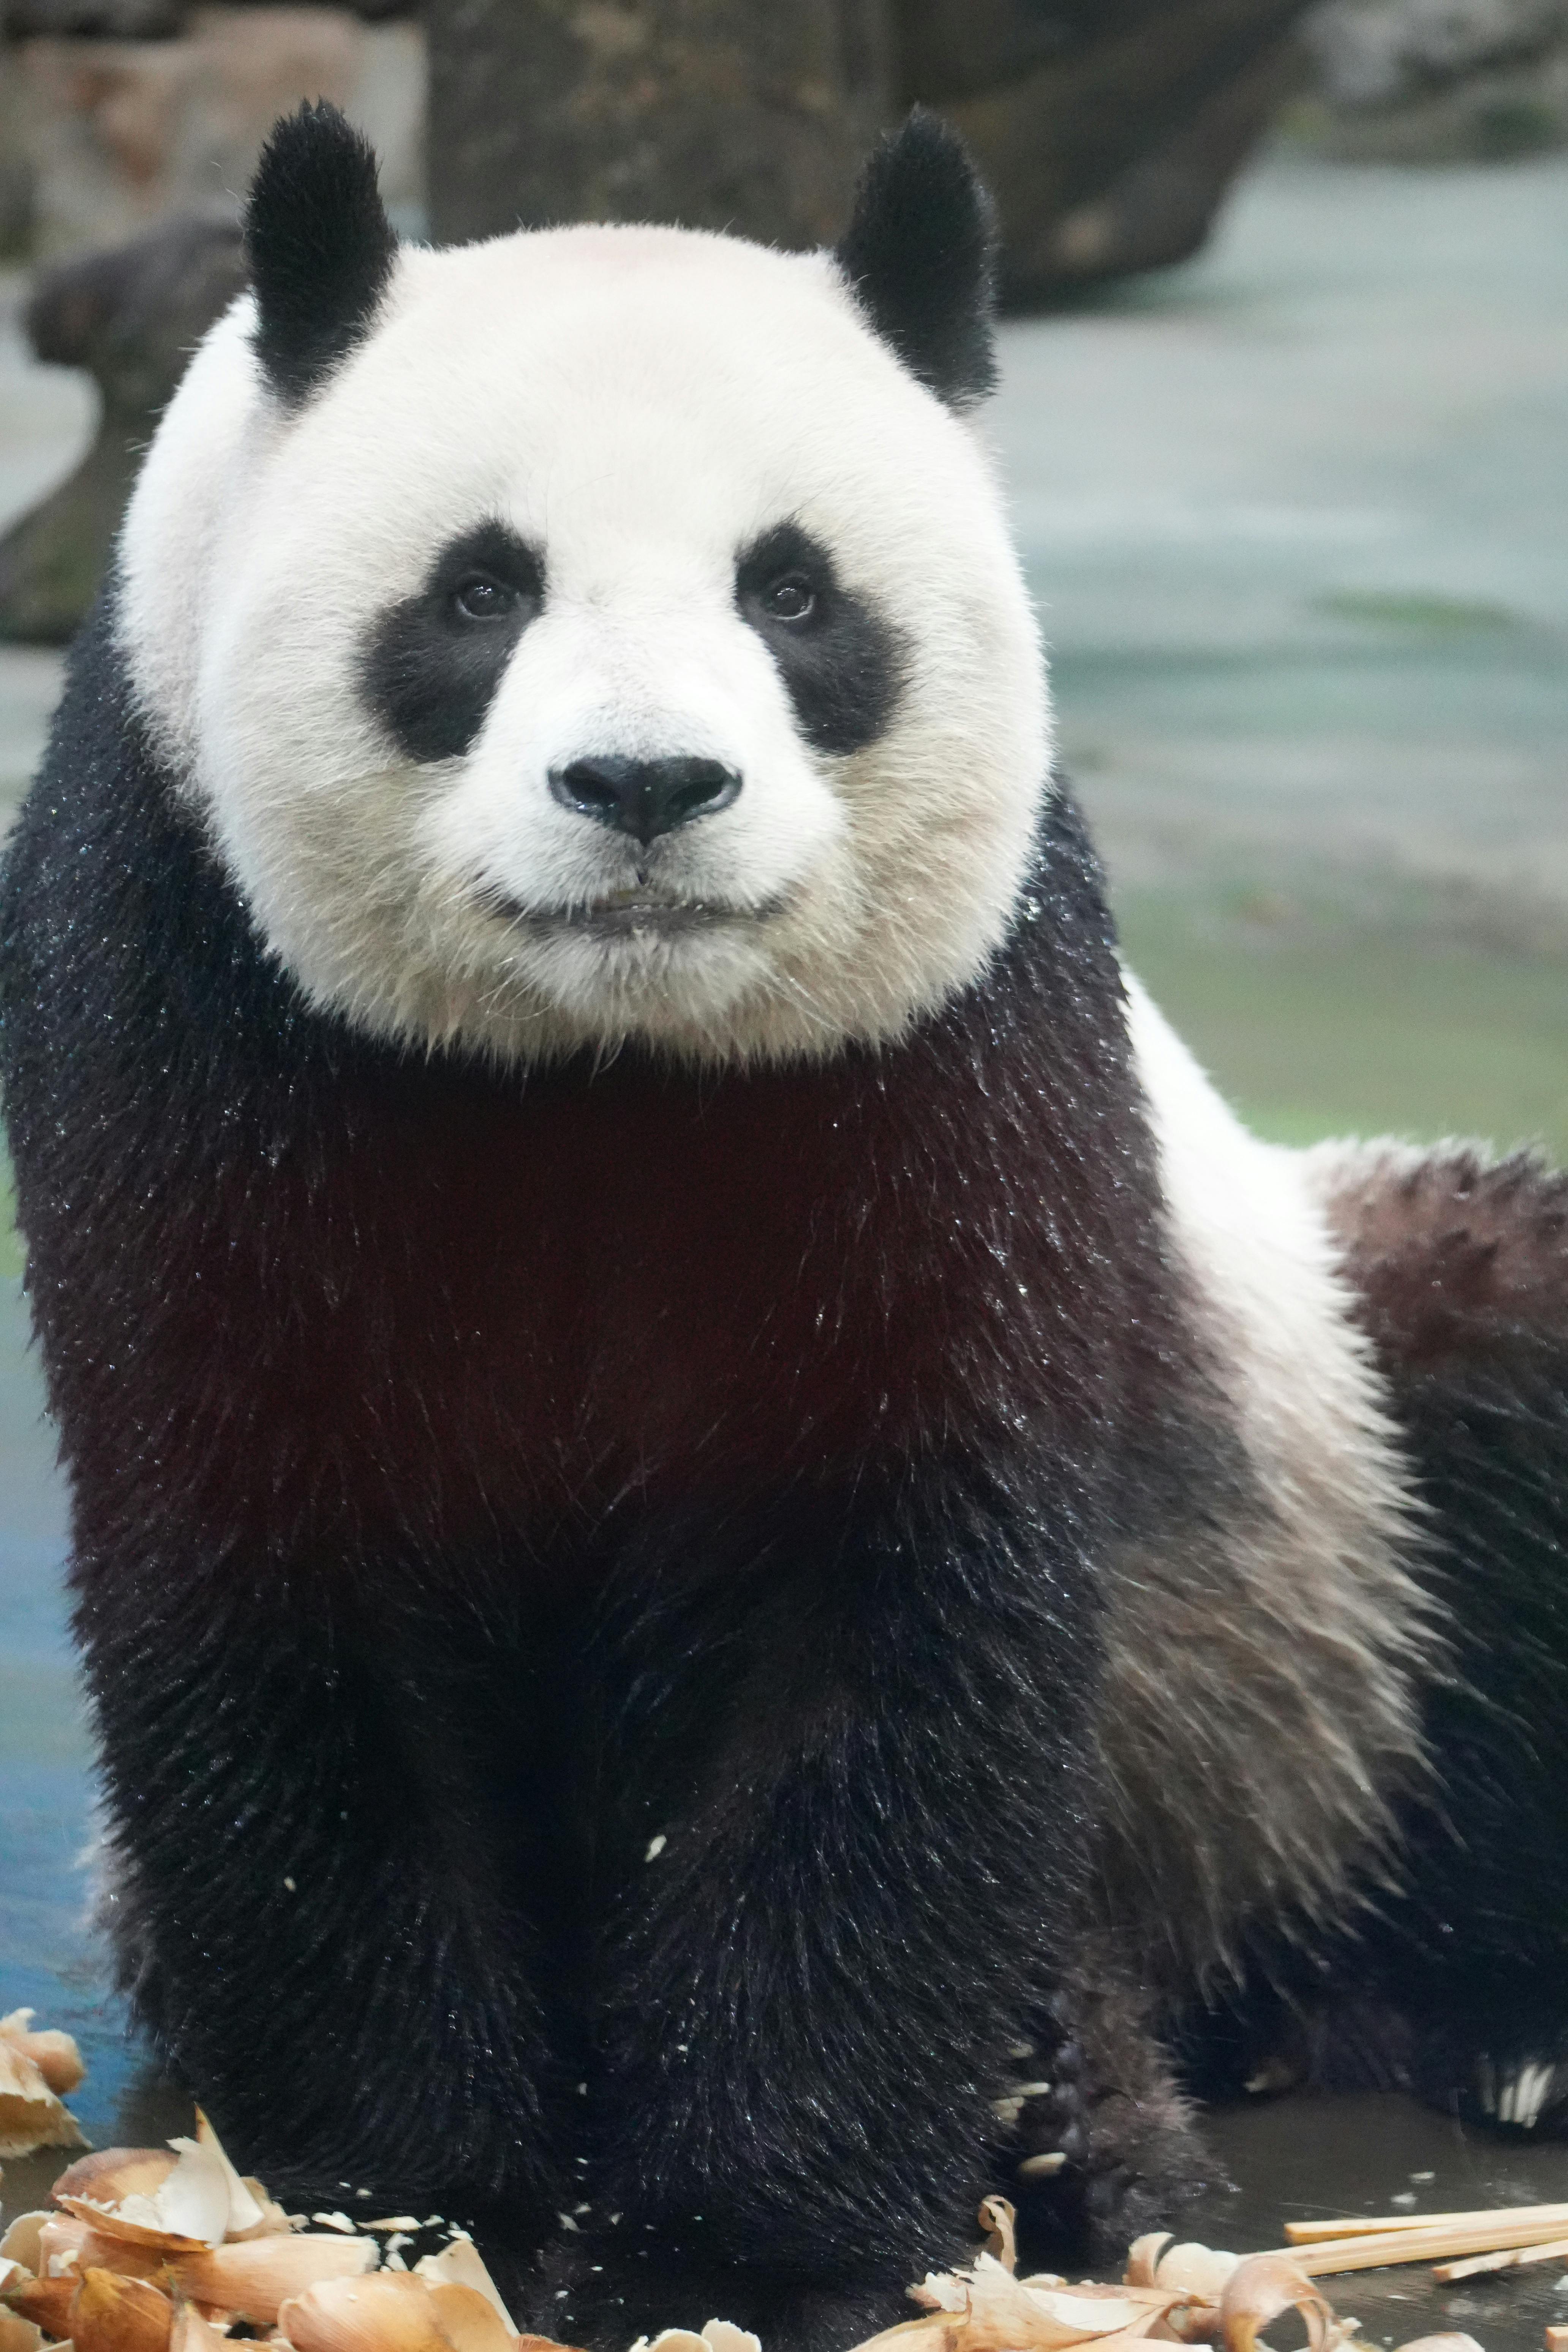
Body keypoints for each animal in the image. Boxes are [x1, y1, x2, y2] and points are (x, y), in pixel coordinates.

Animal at [3, 96, 1567, 2352]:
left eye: (796, 594)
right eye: (478, 590)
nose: (646, 786)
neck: (603, 1055)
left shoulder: (938, 1048)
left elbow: (877, 1602)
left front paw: (761, 2247)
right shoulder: (186, 972)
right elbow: (287, 1582)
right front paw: (406, 2218)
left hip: (1323, 1464)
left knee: (1494, 1370)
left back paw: (1429, 2036)